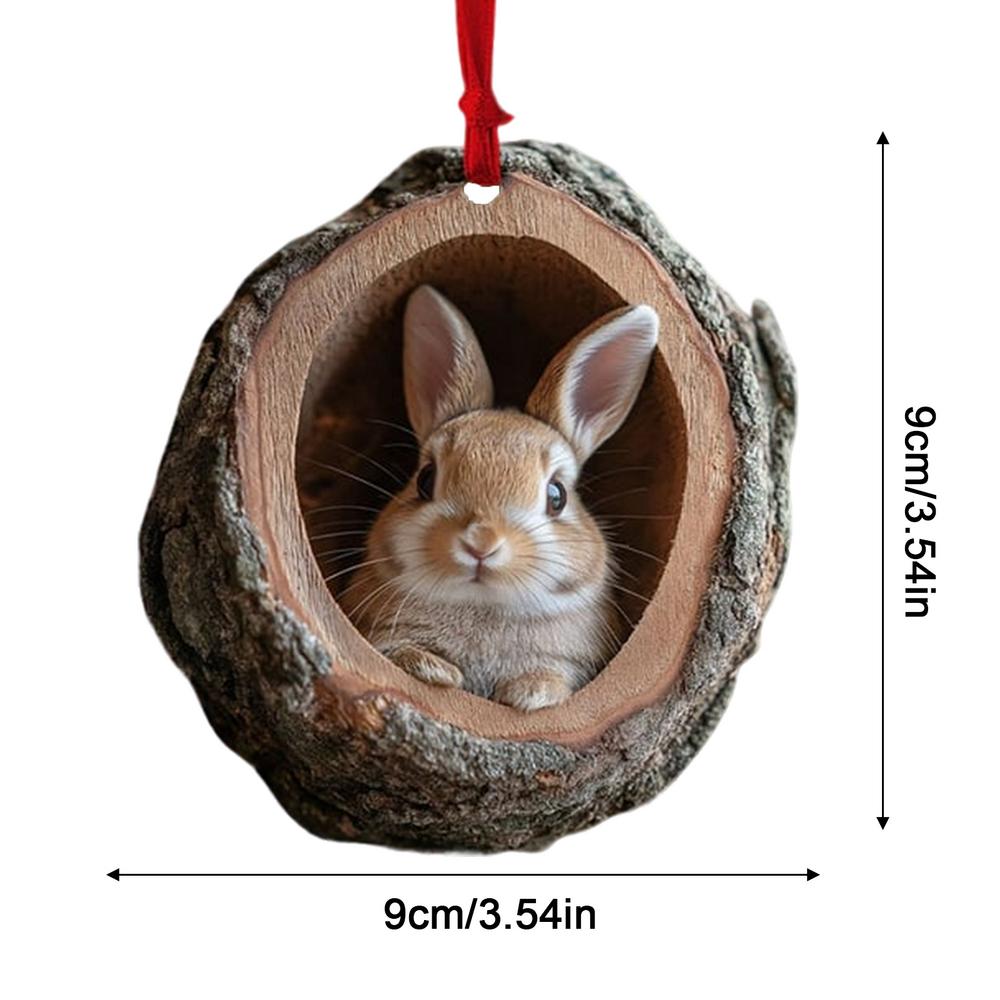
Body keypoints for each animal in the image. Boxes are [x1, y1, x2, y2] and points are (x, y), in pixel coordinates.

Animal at [345, 284, 659, 711]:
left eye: (557, 495)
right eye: (426, 479)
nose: (481, 542)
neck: (483, 605)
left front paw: (531, 692)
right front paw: (435, 670)